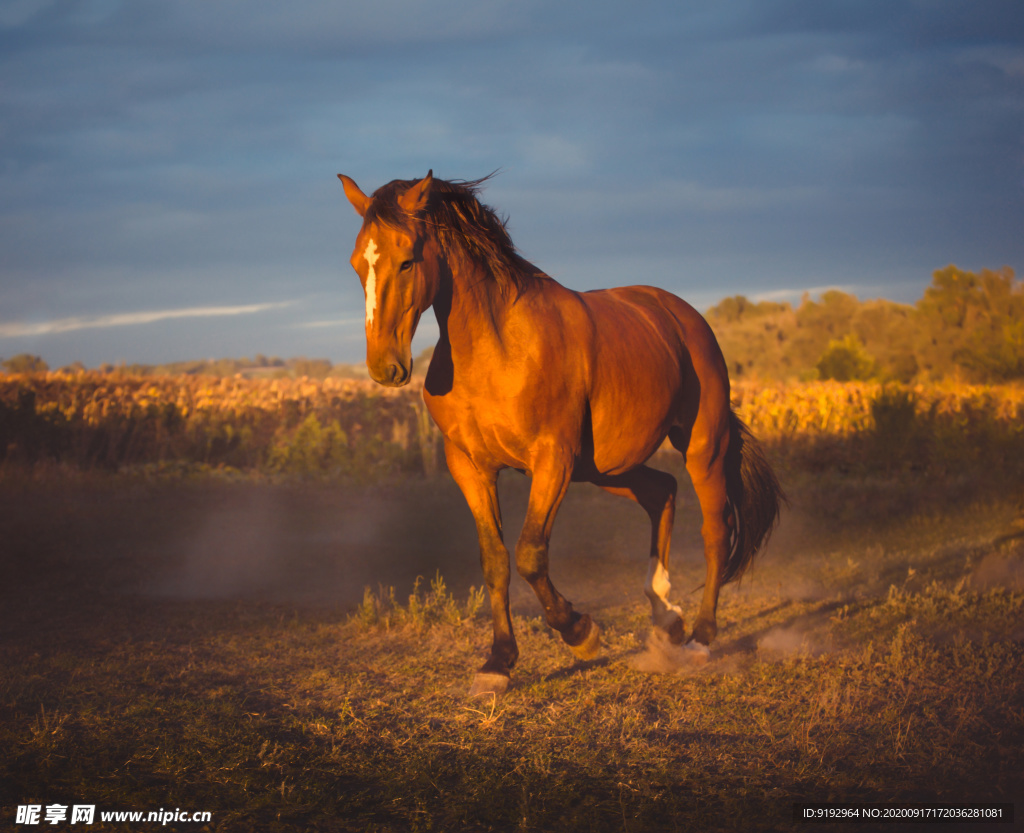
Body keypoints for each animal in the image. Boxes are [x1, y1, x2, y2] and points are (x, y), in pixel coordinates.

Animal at [337, 171, 782, 696]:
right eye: (357, 263)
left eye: (407, 259)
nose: (384, 367)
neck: (496, 348)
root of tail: (684, 317)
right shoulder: (470, 467)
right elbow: (495, 560)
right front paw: (497, 663)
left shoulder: (552, 460)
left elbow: (530, 554)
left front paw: (581, 633)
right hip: (607, 468)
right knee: (663, 493)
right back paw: (666, 617)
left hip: (700, 447)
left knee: (715, 530)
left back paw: (699, 637)